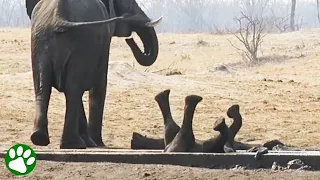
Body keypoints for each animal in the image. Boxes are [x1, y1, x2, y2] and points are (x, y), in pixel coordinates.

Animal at [24, 0, 161, 149]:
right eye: (129, 3)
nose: (130, 40)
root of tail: (58, 18)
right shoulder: (104, 40)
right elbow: (99, 86)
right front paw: (98, 144)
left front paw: (91, 142)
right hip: (82, 43)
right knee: (72, 90)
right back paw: (74, 144)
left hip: (40, 41)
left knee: (43, 88)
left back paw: (40, 139)